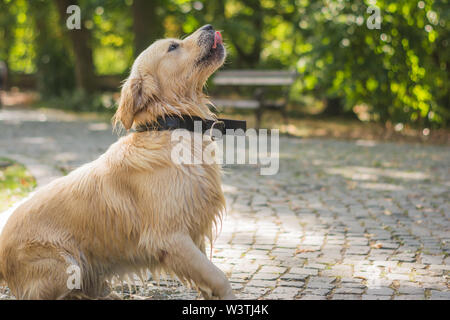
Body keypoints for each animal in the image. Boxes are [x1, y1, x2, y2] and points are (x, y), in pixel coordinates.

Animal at [0, 24, 237, 300]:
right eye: (173, 46)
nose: (210, 27)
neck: (170, 126)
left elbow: (208, 280)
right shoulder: (170, 237)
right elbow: (218, 277)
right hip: (65, 265)